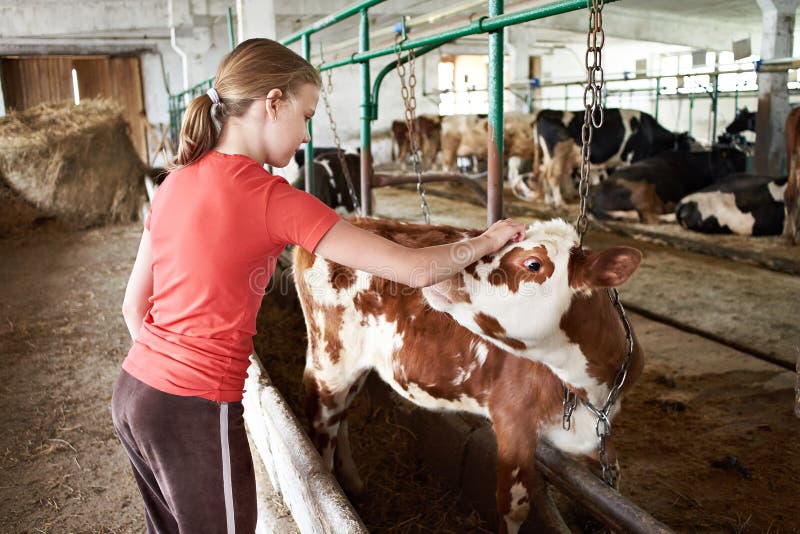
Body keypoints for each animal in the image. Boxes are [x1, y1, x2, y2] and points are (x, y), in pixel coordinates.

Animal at [294, 218, 644, 534]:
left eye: (533, 263)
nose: (443, 270)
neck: (586, 387)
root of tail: (353, 219)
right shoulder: (512, 420)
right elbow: (514, 506)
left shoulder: (598, 429)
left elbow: (613, 478)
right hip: (331, 357)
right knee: (323, 423)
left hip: (354, 364)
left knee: (342, 414)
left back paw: (353, 482)